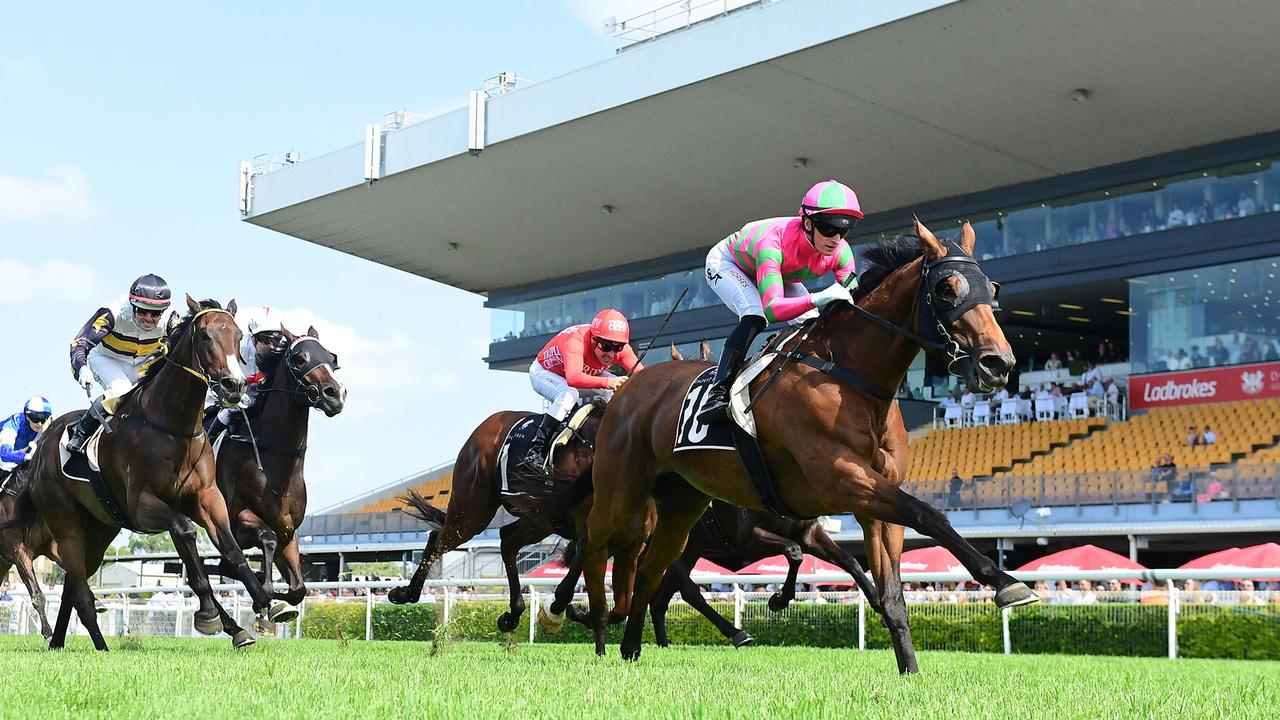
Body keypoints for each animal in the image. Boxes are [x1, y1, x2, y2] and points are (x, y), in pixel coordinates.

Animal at [23, 294, 288, 648]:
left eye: (237, 335)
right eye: (205, 336)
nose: (234, 385)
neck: (172, 427)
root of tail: (41, 447)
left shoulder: (206, 497)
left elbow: (230, 549)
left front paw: (263, 600)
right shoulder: (142, 506)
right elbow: (187, 535)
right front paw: (209, 615)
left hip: (101, 527)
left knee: (72, 585)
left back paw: (59, 642)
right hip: (65, 522)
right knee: (79, 587)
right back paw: (98, 645)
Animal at [216, 325, 345, 609]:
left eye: (332, 359)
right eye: (299, 359)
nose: (335, 394)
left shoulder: (288, 531)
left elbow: (298, 589)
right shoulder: (239, 519)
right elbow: (265, 539)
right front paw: (263, 588)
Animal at [386, 399, 650, 653]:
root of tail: (486, 426)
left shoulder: (630, 546)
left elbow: (621, 607)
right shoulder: (592, 536)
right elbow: (586, 590)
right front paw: (559, 612)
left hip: (540, 519)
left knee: (507, 538)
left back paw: (511, 615)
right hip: (472, 512)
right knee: (438, 538)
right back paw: (405, 593)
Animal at [550, 221, 1039, 671]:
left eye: (992, 288)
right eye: (947, 288)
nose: (998, 363)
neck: (851, 377)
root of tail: (626, 387)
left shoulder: (867, 502)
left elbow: (890, 588)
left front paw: (910, 670)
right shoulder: (844, 479)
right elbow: (929, 515)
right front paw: (1005, 581)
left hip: (683, 507)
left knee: (654, 572)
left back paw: (631, 648)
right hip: (621, 491)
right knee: (592, 543)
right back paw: (568, 611)